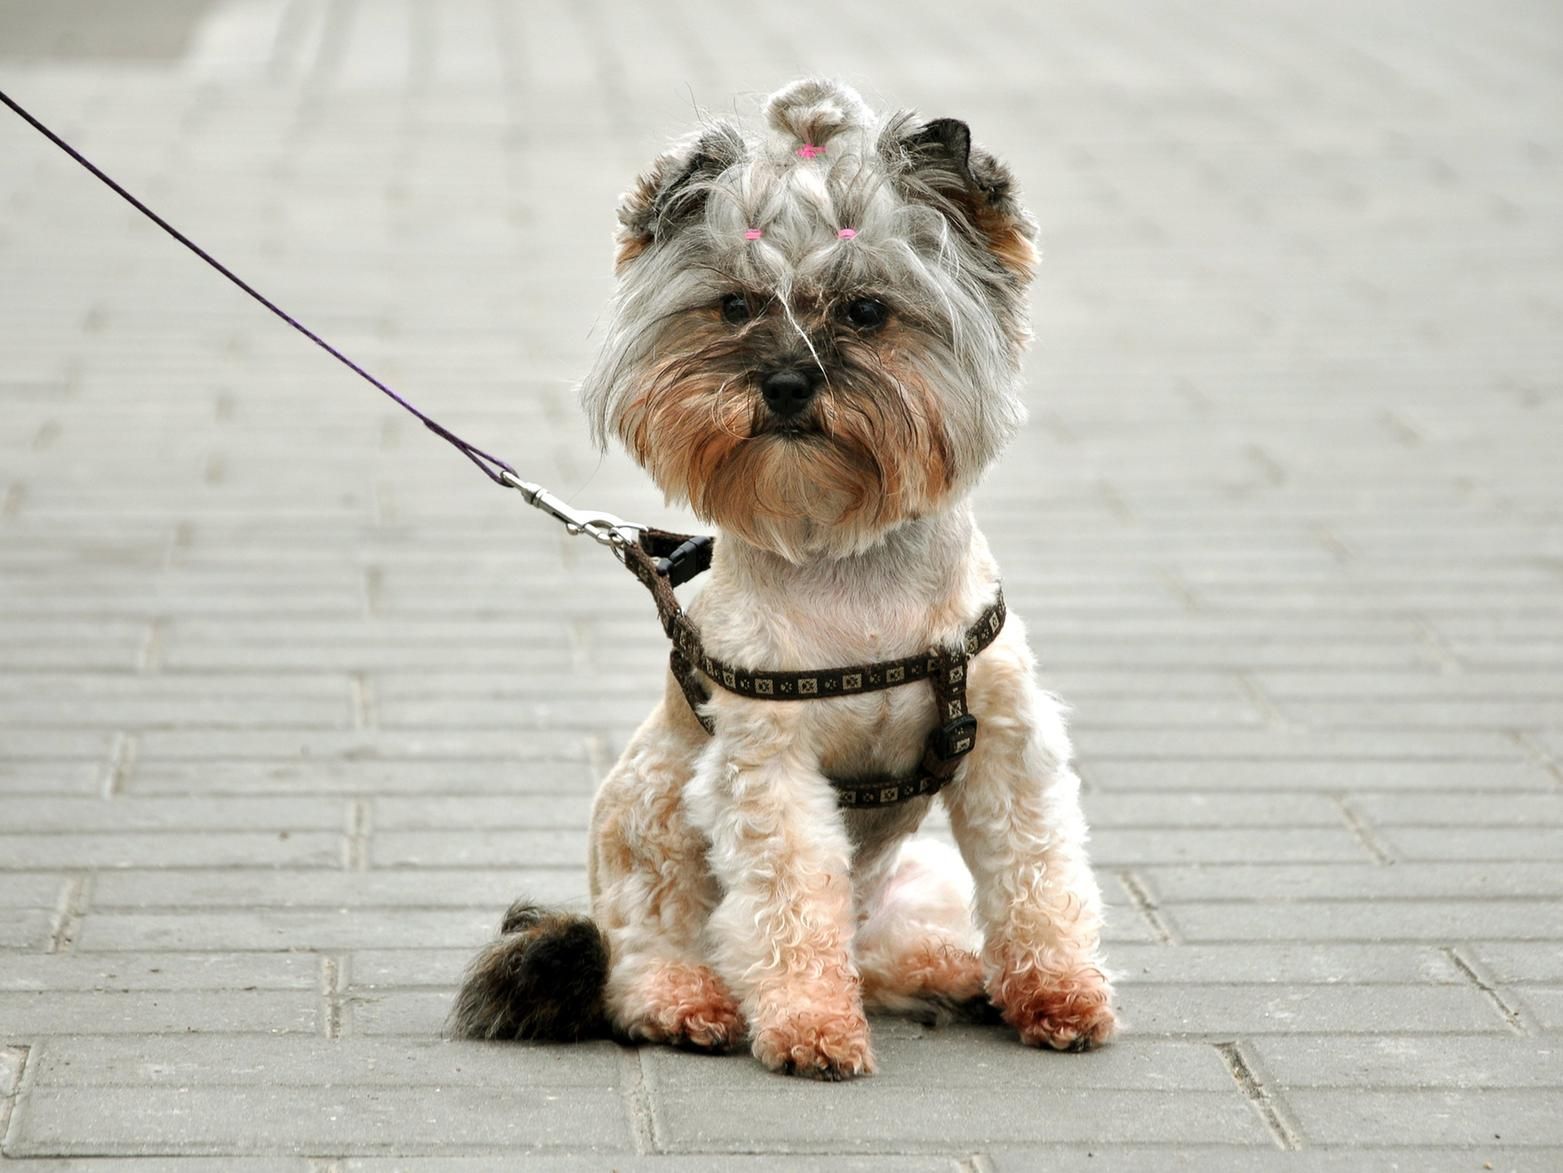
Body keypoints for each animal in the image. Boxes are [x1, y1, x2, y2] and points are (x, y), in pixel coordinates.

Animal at [447, 78, 1119, 1082]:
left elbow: (1035, 877)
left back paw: (959, 974)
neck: (848, 560)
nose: (786, 384)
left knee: (895, 949)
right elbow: (791, 898)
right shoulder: (770, 766)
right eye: (732, 306)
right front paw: (810, 1026)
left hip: (913, 880)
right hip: (648, 827)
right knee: (643, 960)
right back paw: (693, 1002)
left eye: (868, 311)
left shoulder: (1005, 746)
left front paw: (1059, 993)